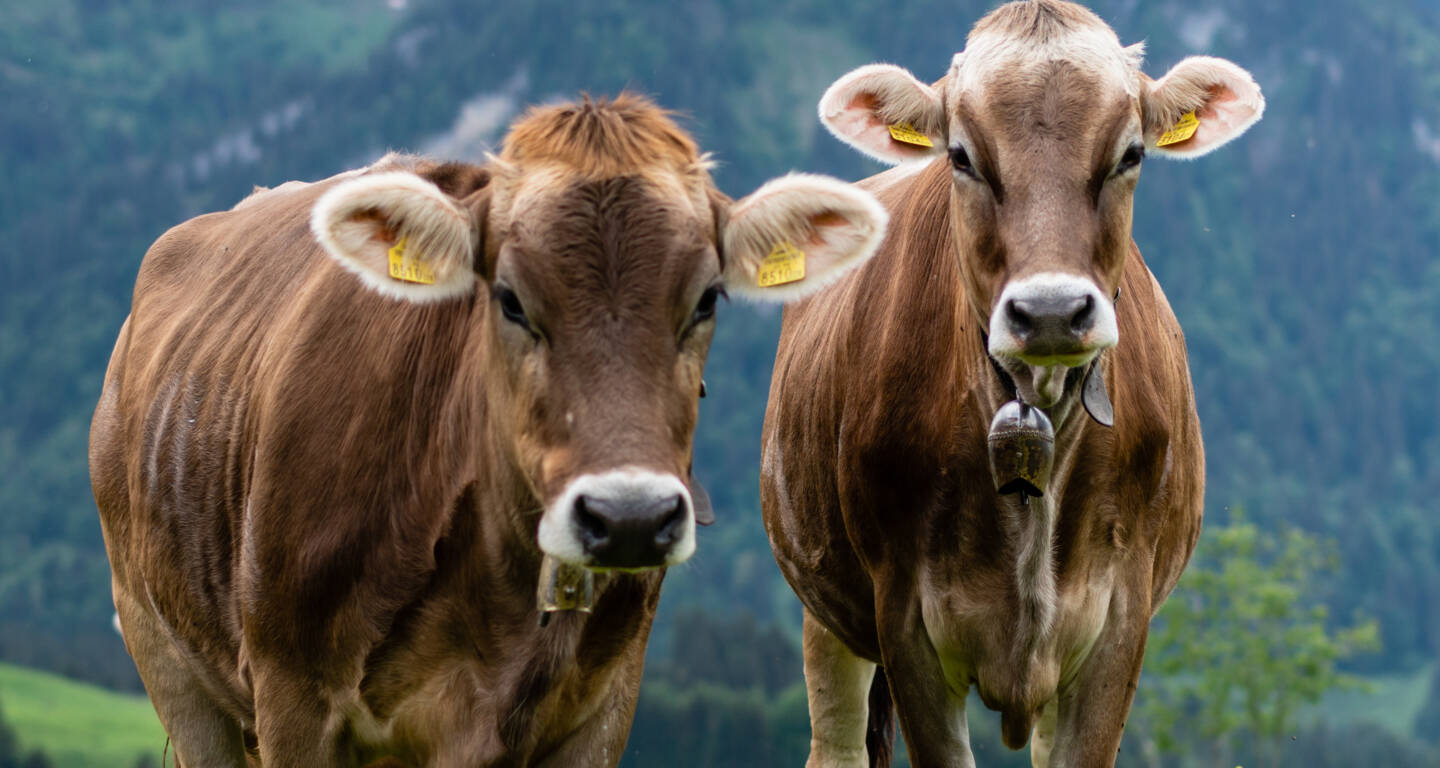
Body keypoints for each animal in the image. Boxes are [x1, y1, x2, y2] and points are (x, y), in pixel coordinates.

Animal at [92, 95, 887, 766]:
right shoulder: (293, 694)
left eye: (706, 298)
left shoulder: (602, 707)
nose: (628, 517)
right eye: (509, 298)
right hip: (165, 654)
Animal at [760, 2, 1267, 760]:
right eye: (961, 156)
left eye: (1131, 154)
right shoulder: (903, 620)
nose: (1051, 310)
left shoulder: (1119, 623)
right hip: (825, 610)